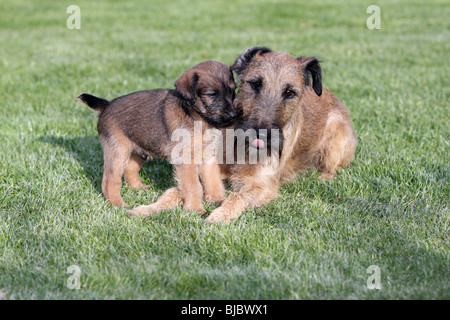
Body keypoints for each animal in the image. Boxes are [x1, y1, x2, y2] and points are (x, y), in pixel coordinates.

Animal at [77, 61, 239, 214]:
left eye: (233, 91)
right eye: (212, 94)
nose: (234, 115)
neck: (196, 117)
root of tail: (106, 105)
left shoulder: (208, 156)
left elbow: (213, 180)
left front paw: (218, 200)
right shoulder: (186, 160)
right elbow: (193, 185)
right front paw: (195, 208)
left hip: (140, 150)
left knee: (130, 168)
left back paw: (139, 187)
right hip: (118, 152)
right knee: (109, 181)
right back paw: (118, 204)